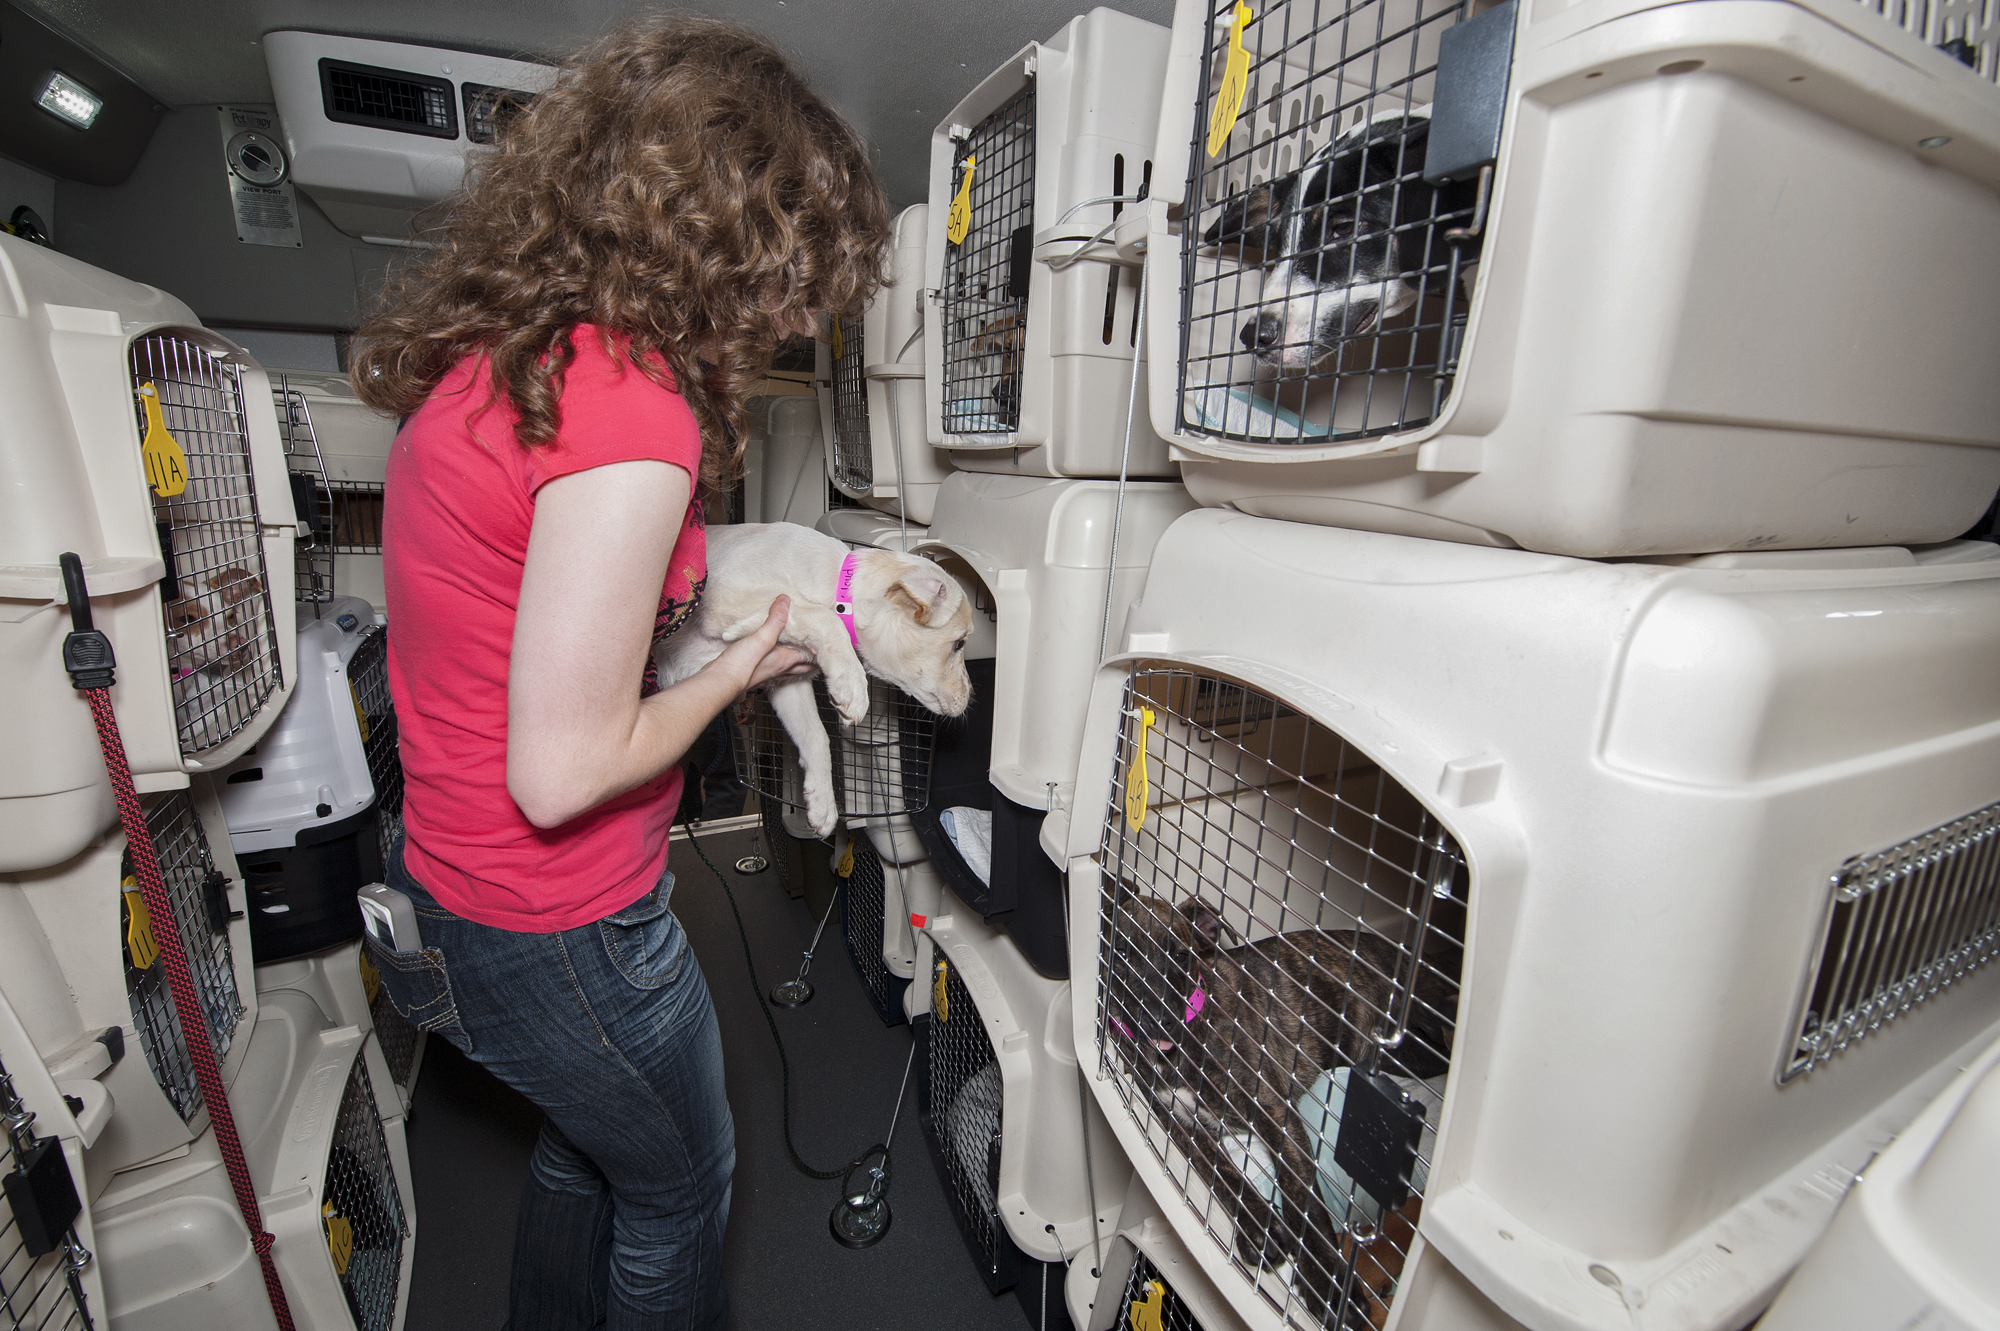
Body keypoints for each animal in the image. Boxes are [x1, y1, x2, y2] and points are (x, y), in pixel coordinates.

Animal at [656, 523, 976, 835]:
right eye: (959, 644)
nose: (970, 697)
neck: (832, 584)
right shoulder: (725, 595)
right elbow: (821, 615)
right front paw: (852, 685)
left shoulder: (786, 683)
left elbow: (817, 737)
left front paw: (822, 803)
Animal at [1112, 887, 1456, 1319]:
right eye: (1122, 952)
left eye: (1180, 954)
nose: (1159, 1020)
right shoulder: (1176, 1119)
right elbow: (1219, 1174)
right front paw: (1258, 1230)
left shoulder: (1274, 1114)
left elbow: (1300, 1199)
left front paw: (1325, 1286)